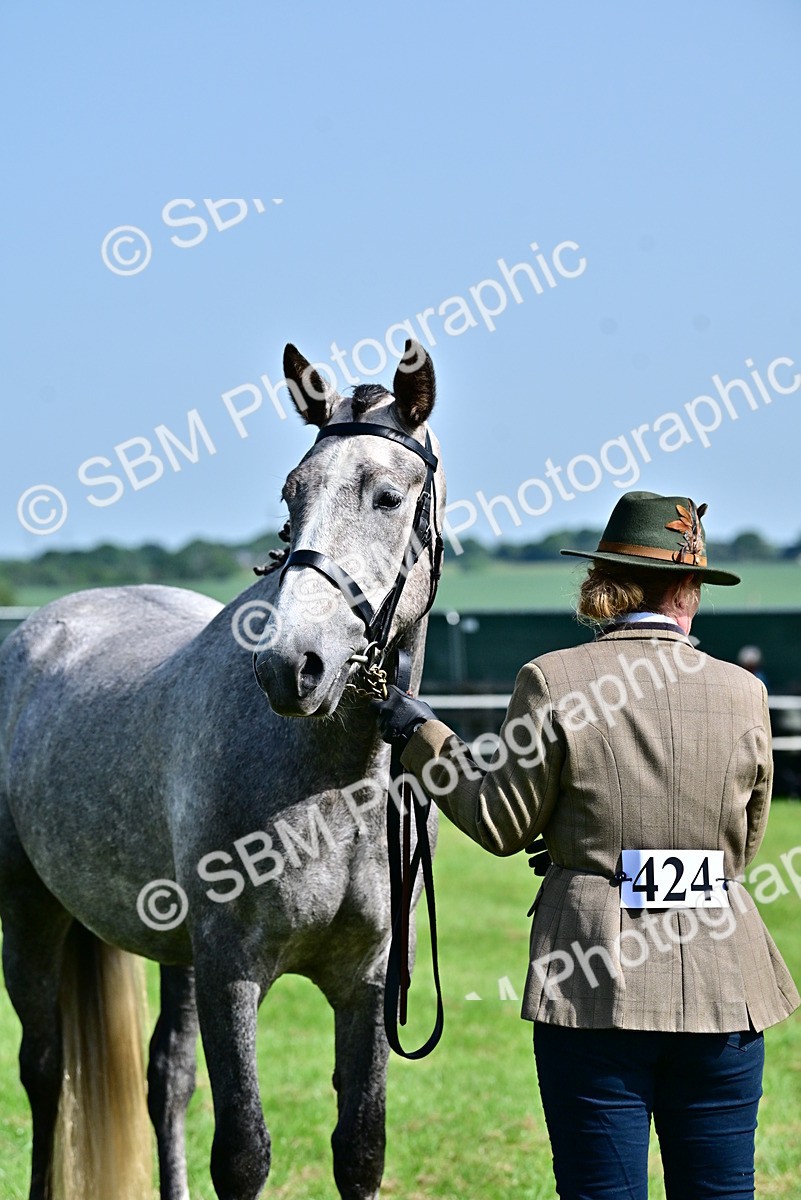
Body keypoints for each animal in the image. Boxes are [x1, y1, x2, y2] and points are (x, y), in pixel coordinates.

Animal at [0, 339, 445, 1200]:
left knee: (164, 1080)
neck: (333, 787)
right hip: (29, 914)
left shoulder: (367, 984)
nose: (290, 666)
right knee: (44, 1071)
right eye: (292, 493)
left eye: (386, 496)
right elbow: (242, 1153)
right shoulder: (231, 972)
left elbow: (361, 1148)